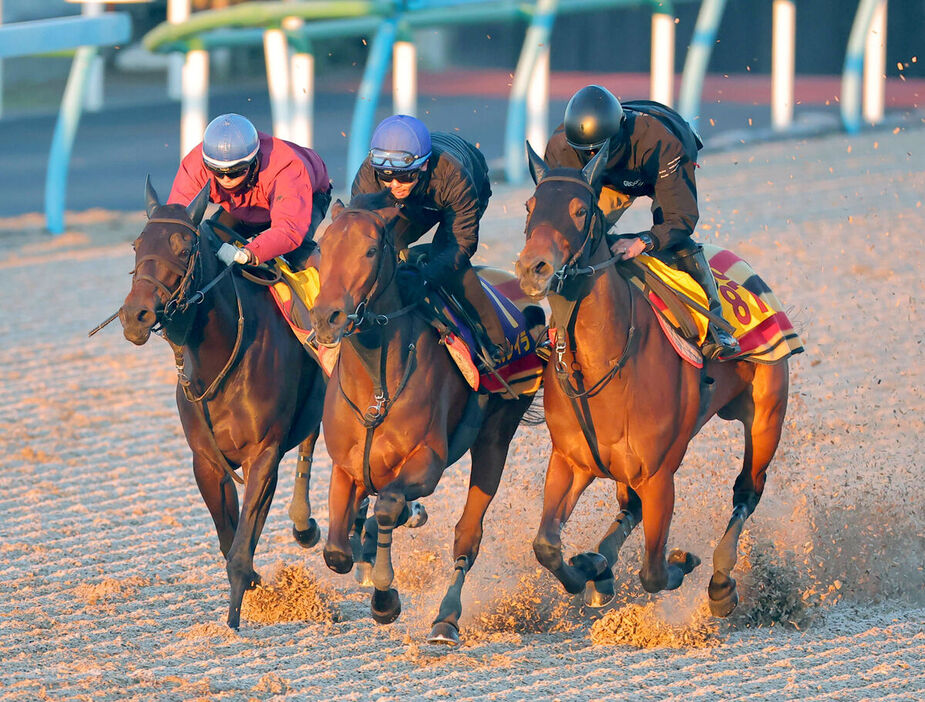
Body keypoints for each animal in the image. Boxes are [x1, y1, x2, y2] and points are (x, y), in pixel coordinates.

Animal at [119, 179, 328, 628]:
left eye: (184, 248)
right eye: (137, 245)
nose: (135, 315)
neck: (220, 360)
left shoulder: (263, 454)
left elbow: (241, 546)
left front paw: (233, 620)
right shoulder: (207, 461)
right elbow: (230, 538)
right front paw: (254, 583)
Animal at [306, 194, 536, 648]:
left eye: (370, 250)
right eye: (323, 247)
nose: (327, 317)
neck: (376, 384)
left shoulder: (428, 462)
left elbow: (388, 505)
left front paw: (385, 598)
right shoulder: (346, 467)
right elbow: (337, 552)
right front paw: (365, 554)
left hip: (496, 436)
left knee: (468, 536)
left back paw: (446, 619)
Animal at [508, 147, 792, 616]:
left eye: (580, 209)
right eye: (530, 206)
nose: (533, 268)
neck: (606, 361)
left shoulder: (660, 477)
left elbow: (654, 572)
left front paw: (684, 561)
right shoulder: (570, 461)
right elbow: (545, 545)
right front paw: (589, 571)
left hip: (767, 414)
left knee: (747, 491)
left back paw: (721, 581)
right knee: (629, 508)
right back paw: (600, 564)